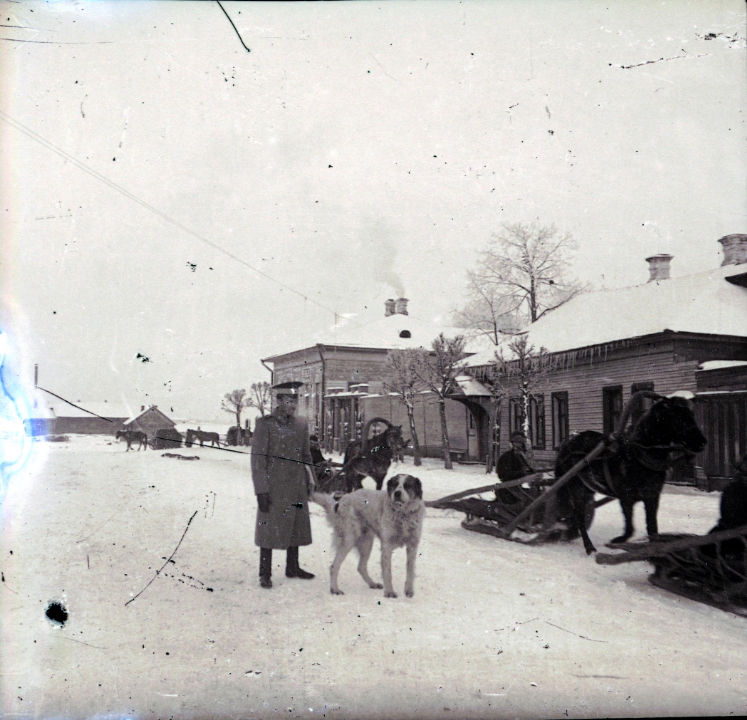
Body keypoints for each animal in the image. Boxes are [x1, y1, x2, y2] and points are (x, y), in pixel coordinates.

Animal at [555, 394, 707, 555]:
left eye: (691, 415)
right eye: (679, 417)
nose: (703, 441)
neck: (639, 455)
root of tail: (567, 442)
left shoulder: (652, 497)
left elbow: (652, 528)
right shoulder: (626, 498)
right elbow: (629, 529)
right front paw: (617, 541)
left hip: (587, 487)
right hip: (574, 486)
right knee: (579, 516)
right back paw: (589, 547)